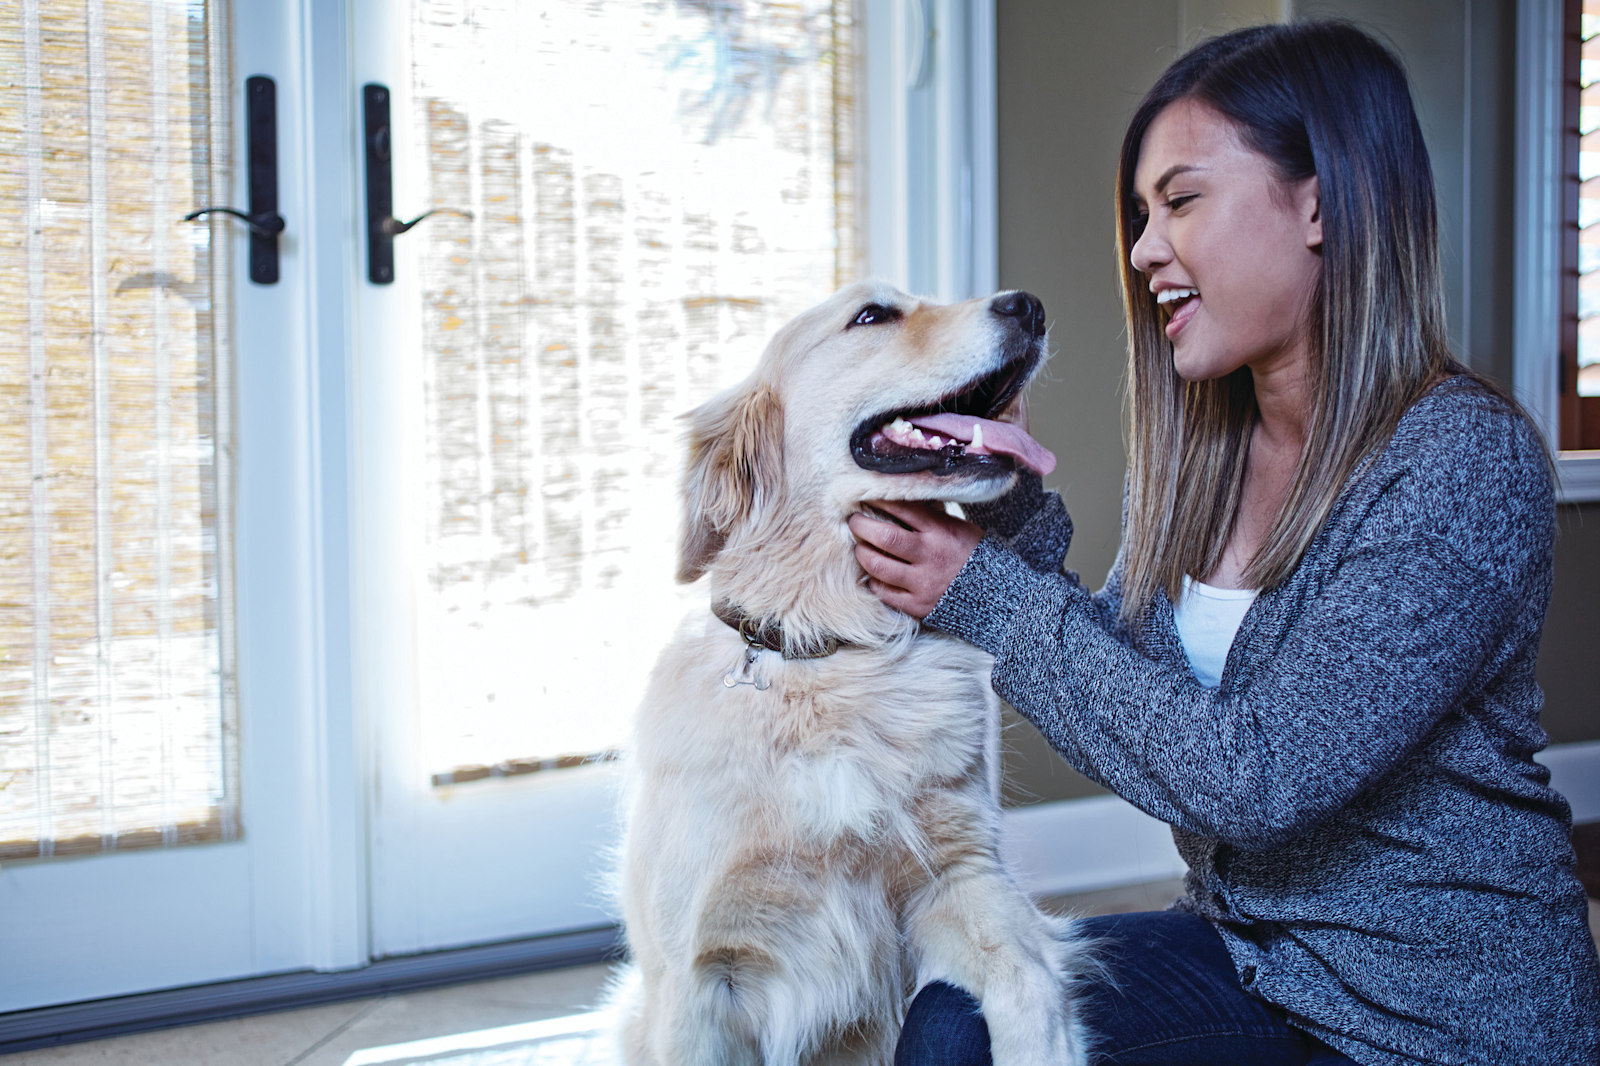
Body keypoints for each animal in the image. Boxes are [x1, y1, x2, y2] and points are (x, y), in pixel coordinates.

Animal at [608, 278, 1088, 1056]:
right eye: (871, 315)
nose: (1029, 306)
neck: (832, 653)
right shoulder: (698, 975)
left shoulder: (959, 878)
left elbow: (1030, 984)